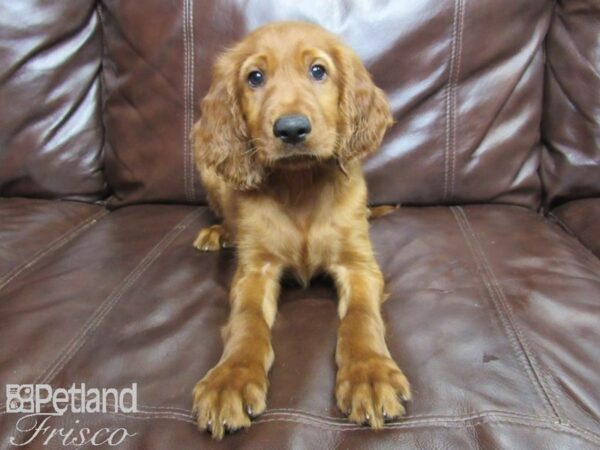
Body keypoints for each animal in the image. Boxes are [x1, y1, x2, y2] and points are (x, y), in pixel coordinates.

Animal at [191, 21, 408, 440]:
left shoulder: (359, 266)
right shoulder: (255, 271)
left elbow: (361, 317)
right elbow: (247, 320)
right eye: (255, 77)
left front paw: (369, 374)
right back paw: (218, 233)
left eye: (318, 71)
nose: (291, 129)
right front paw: (230, 379)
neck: (300, 184)